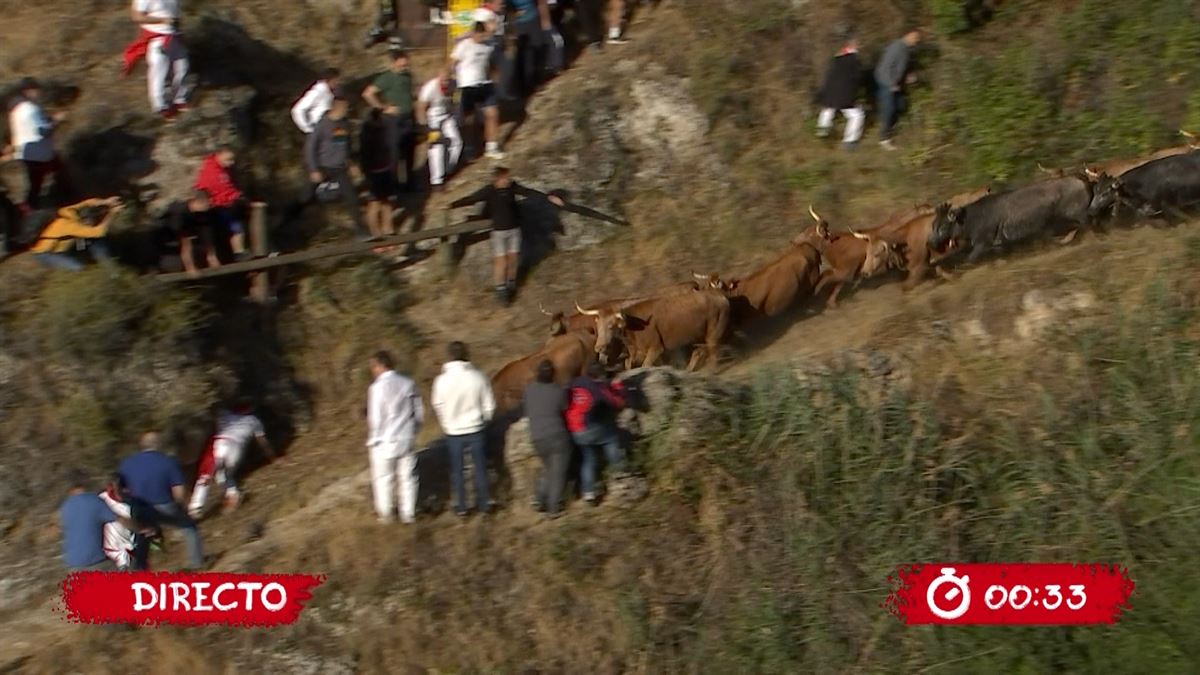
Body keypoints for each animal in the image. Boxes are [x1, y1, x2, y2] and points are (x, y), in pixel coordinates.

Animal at [573, 288, 729, 369]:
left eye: (611, 326)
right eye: (598, 326)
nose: (599, 348)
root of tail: (721, 296)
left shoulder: (656, 348)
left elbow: (645, 366)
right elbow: (628, 363)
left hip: (713, 334)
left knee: (714, 354)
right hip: (698, 337)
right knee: (698, 352)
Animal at [926, 174, 1099, 264]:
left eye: (942, 226)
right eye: (933, 224)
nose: (930, 243)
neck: (969, 223)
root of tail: (1085, 182)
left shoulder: (983, 241)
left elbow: (969, 260)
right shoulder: (998, 242)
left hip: (1078, 213)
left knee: (1089, 223)